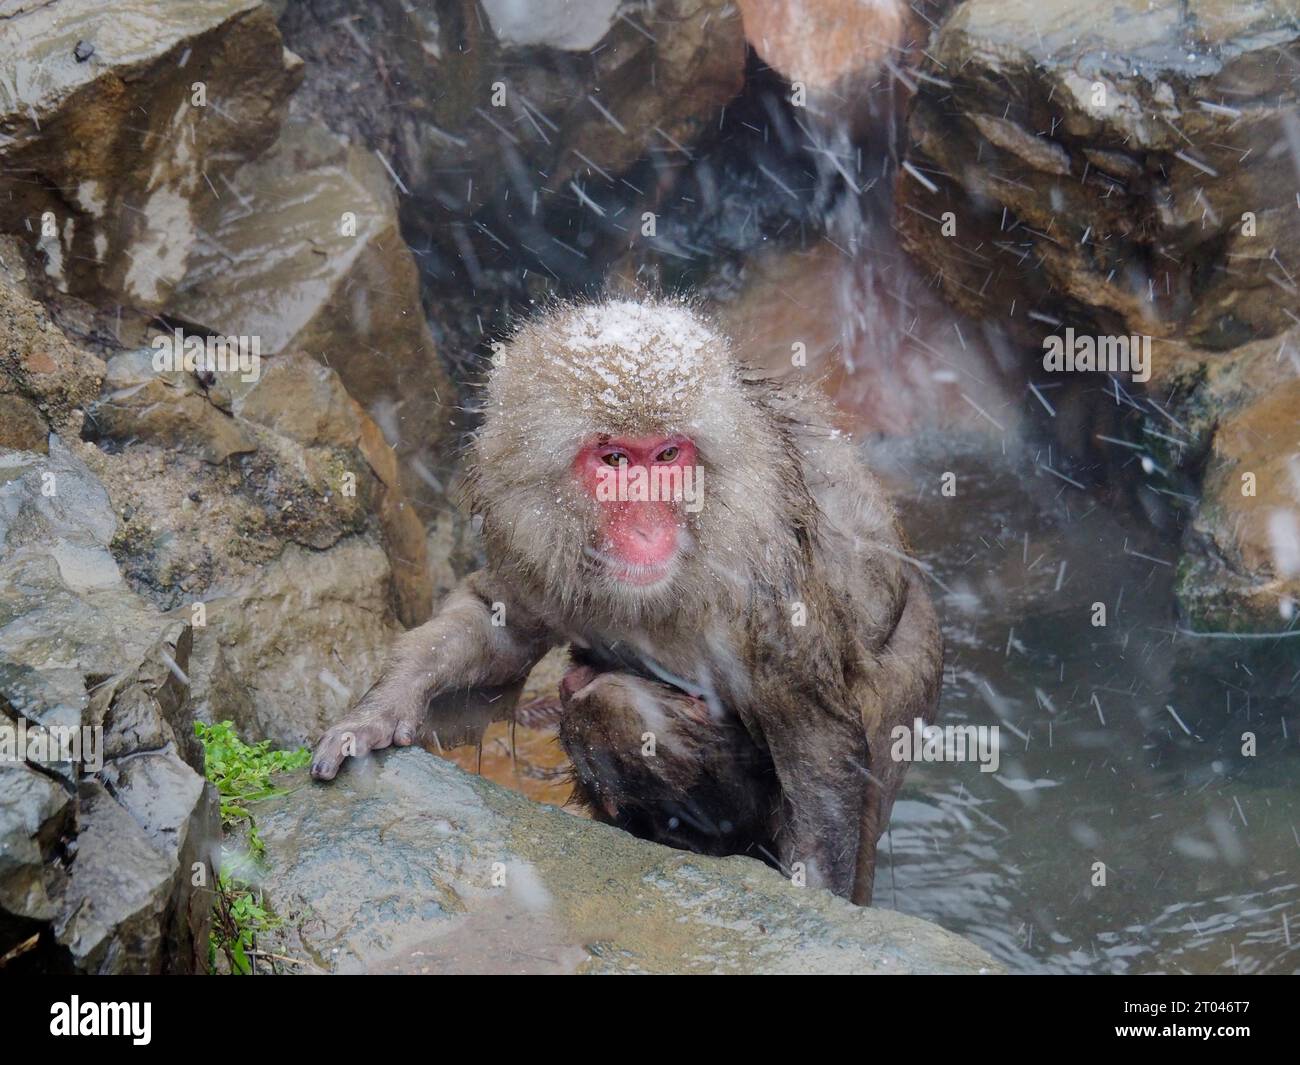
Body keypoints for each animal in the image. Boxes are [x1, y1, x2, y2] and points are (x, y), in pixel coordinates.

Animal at [314, 300, 946, 910]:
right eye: (615, 460)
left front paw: (817, 896)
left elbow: (817, 748)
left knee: (612, 705)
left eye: (666, 455)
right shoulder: (534, 541)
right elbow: (502, 626)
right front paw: (377, 712)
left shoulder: (769, 588)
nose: (646, 528)